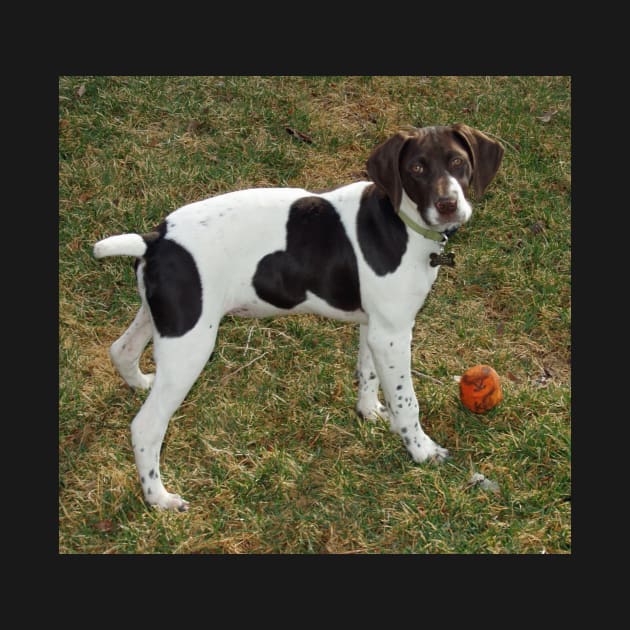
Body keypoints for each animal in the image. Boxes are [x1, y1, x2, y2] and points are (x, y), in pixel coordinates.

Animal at [94, 123, 506, 512]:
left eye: (457, 162)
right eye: (417, 168)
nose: (448, 204)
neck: (400, 222)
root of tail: (155, 240)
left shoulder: (375, 327)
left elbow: (368, 373)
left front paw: (369, 412)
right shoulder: (393, 333)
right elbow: (407, 401)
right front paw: (421, 449)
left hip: (163, 319)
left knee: (122, 350)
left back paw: (140, 383)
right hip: (189, 345)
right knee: (146, 426)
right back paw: (158, 498)